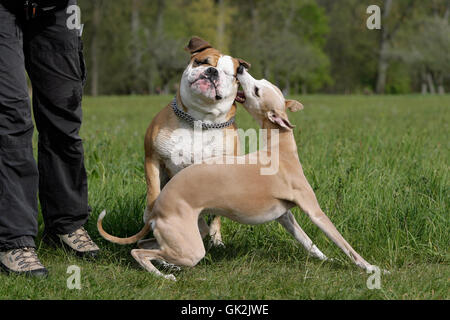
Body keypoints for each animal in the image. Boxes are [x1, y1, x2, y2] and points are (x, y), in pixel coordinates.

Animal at [97, 69, 376, 280]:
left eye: (259, 89)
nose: (240, 69)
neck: (279, 151)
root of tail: (156, 208)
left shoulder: (285, 216)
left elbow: (308, 242)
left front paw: (326, 258)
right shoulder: (313, 209)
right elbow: (342, 241)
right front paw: (370, 267)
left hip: (190, 231)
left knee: (143, 246)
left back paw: (165, 266)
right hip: (191, 247)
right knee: (140, 253)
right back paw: (164, 275)